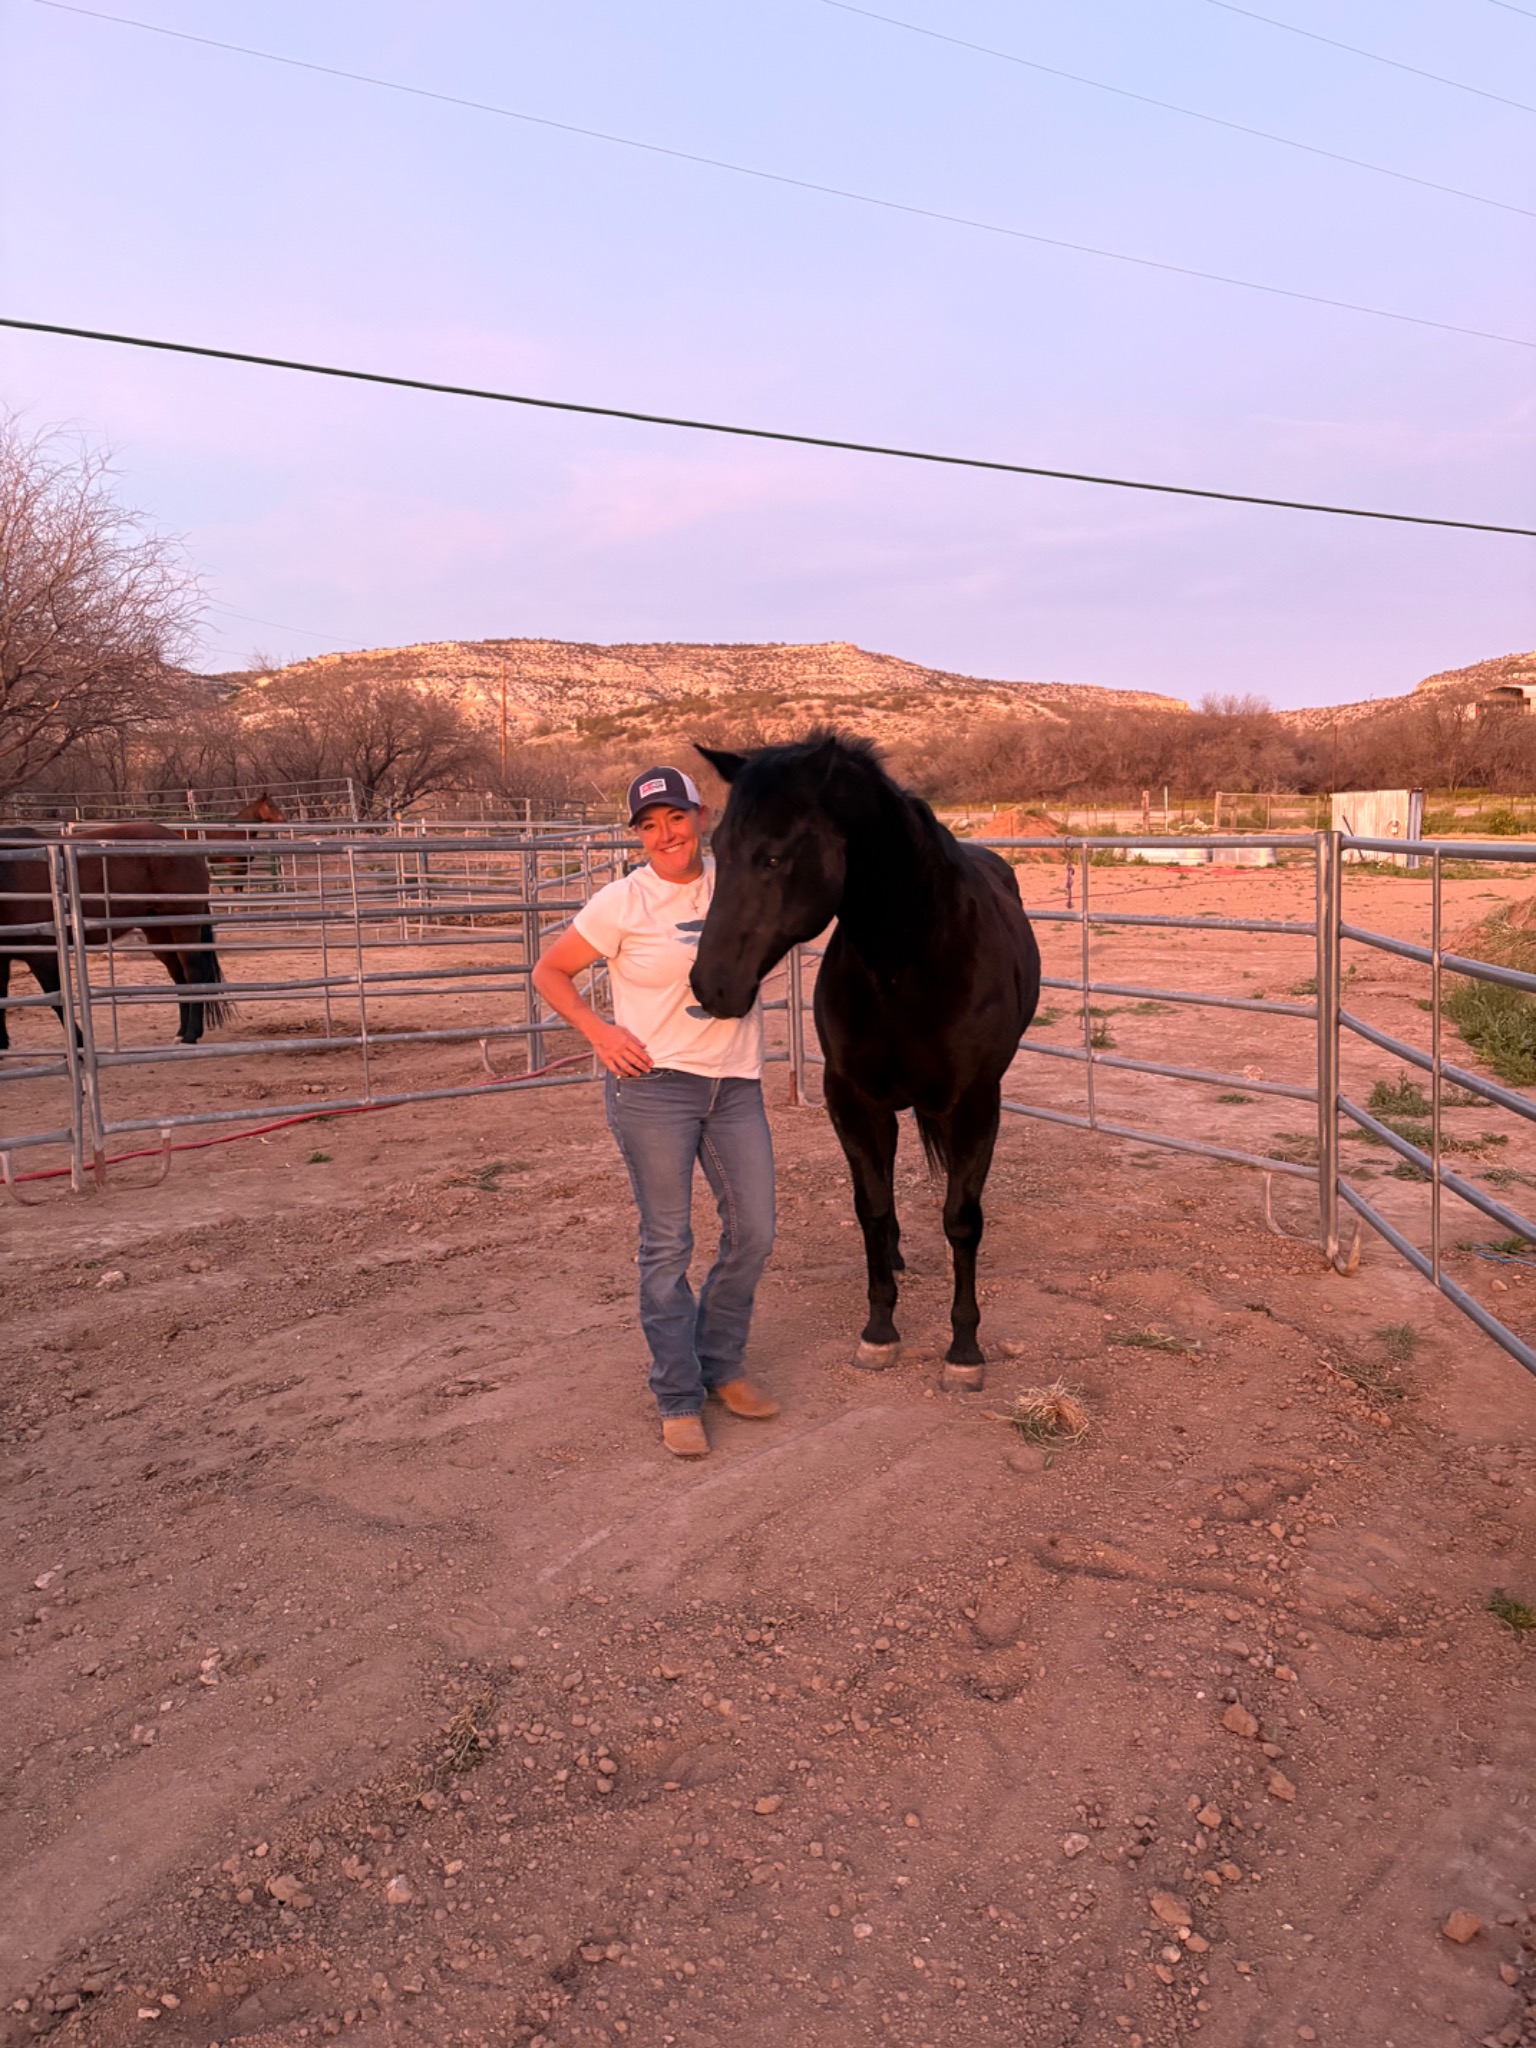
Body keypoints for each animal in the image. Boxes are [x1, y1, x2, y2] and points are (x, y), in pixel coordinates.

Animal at [0, 824, 231, 1051]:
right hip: (159, 932)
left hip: (183, 927)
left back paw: (190, 1035)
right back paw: (181, 1033)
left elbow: (56, 1000)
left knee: (193, 976)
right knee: (179, 978)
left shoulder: (42, 955)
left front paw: (80, 1045)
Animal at [689, 731, 1041, 1392]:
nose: (711, 986)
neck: (909, 960)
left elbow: (962, 1219)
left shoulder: (976, 1104)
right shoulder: (851, 1100)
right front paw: (879, 1331)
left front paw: (964, 1350)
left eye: (773, 857)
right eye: (717, 848)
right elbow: (872, 1209)